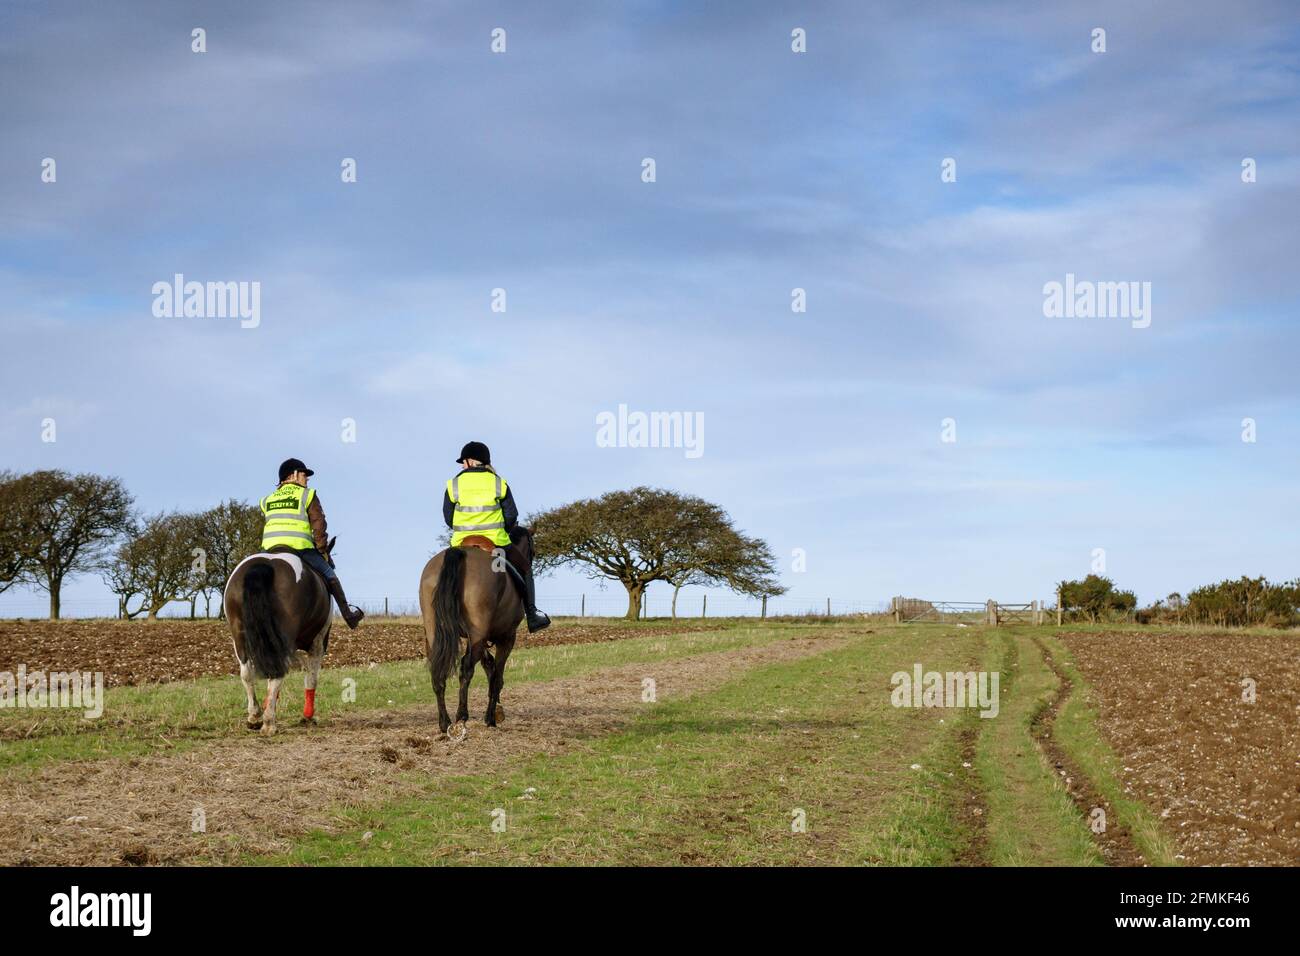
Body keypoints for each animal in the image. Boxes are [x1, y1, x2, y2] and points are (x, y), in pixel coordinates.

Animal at [223, 535, 338, 738]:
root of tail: (263, 565)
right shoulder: (319, 642)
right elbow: (311, 678)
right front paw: (307, 716)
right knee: (277, 674)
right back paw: (269, 723)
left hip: (239, 637)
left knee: (247, 673)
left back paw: (255, 717)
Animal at [421, 530, 533, 733]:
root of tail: (460, 552)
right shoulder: (507, 638)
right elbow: (497, 677)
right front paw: (491, 718)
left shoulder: (479, 639)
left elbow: (489, 666)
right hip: (480, 634)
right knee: (466, 668)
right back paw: (461, 716)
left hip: (436, 633)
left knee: (438, 670)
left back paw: (444, 722)